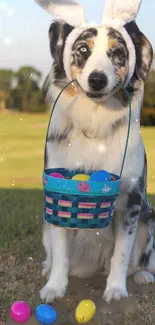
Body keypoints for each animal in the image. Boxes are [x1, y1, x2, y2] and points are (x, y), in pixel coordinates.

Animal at [35, 0, 155, 302]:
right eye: (82, 50)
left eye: (118, 53)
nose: (98, 79)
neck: (95, 121)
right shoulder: (58, 196)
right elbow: (61, 253)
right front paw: (55, 287)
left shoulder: (131, 202)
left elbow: (122, 253)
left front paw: (116, 289)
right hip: (44, 228)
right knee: (52, 253)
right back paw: (47, 267)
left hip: (149, 221)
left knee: (142, 258)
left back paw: (143, 275)